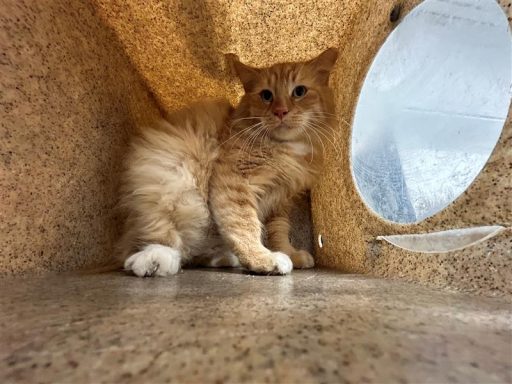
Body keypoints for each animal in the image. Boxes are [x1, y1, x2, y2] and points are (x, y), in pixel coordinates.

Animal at [118, 48, 338, 276]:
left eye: (299, 91)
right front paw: (262, 259)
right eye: (266, 95)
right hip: (172, 185)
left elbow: (279, 232)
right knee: (157, 244)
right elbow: (244, 225)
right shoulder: (235, 180)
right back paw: (155, 261)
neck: (286, 149)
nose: (280, 111)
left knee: (195, 254)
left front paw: (290, 254)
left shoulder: (280, 202)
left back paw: (225, 258)